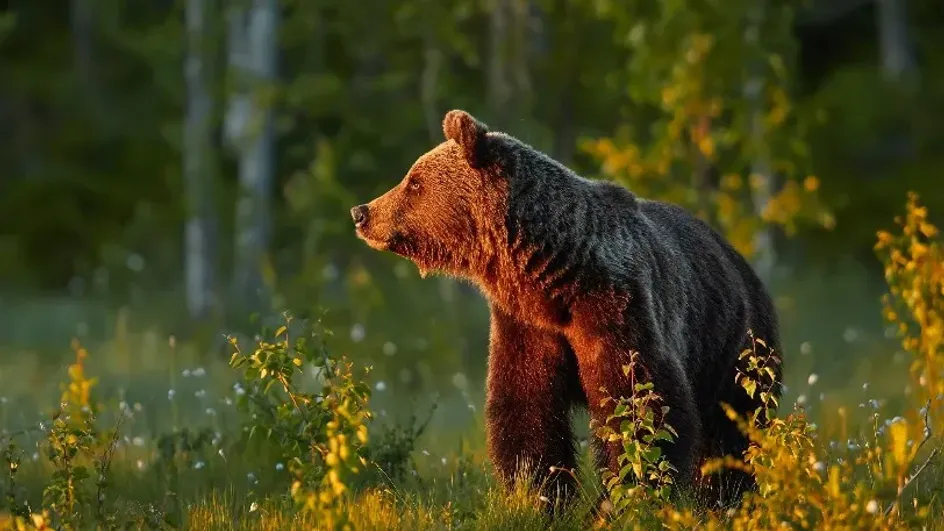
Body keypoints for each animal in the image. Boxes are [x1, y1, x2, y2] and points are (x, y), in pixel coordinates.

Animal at [352, 108, 780, 512]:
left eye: (413, 182)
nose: (362, 212)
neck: (552, 277)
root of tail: (739, 259)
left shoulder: (616, 309)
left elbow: (641, 404)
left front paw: (623, 500)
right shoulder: (525, 324)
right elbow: (526, 409)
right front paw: (536, 494)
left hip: (736, 345)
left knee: (735, 427)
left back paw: (725, 497)